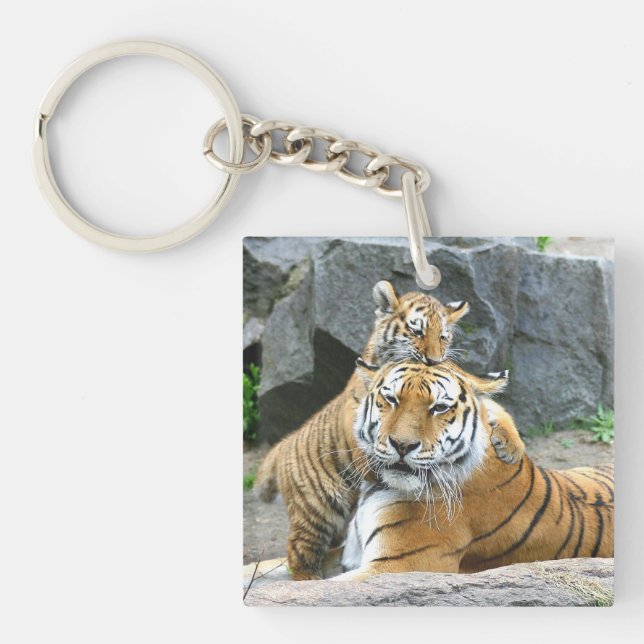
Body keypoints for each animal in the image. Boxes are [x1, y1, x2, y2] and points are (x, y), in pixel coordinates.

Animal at [254, 281, 526, 580]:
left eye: (443, 337)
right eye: (417, 331)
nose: (434, 360)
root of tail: (283, 444)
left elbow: (493, 407)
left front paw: (511, 447)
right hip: (317, 509)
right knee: (300, 552)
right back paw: (308, 578)